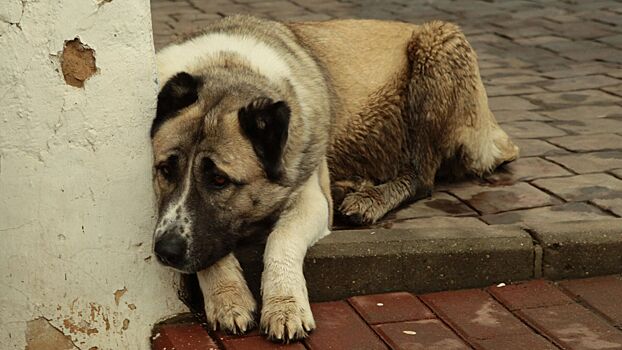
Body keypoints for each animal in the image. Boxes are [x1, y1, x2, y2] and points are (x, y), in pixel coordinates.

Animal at [152, 15, 520, 342]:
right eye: (166, 170)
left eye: (219, 181)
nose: (164, 252)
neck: (228, 67)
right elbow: (206, 249)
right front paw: (228, 297)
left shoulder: (310, 197)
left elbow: (280, 240)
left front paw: (285, 306)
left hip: (436, 51)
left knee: (422, 177)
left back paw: (369, 199)